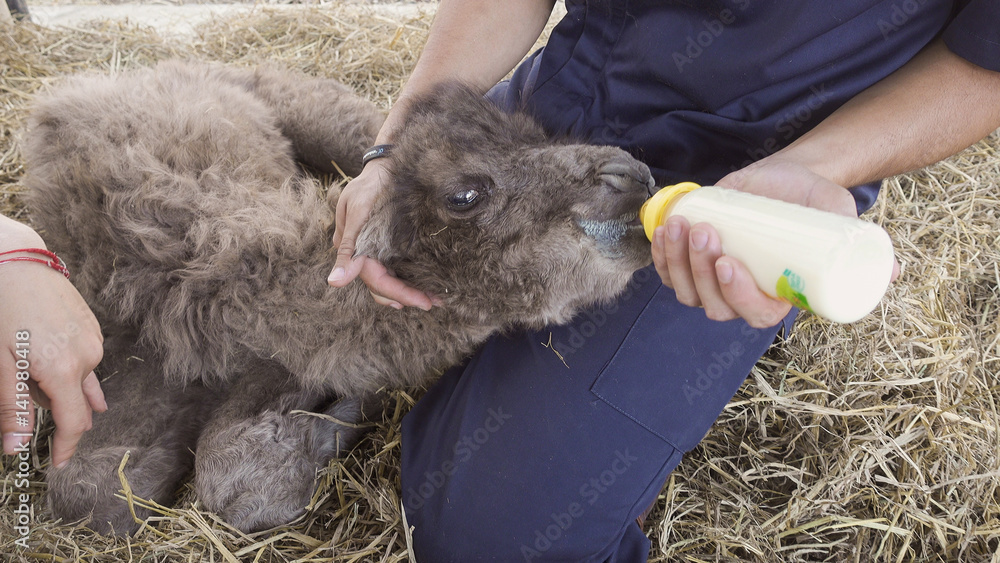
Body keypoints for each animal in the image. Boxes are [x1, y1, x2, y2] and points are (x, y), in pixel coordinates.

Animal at [23, 59, 656, 536]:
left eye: (534, 135)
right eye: (465, 195)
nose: (629, 176)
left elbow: (220, 473)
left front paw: (345, 410)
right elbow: (91, 492)